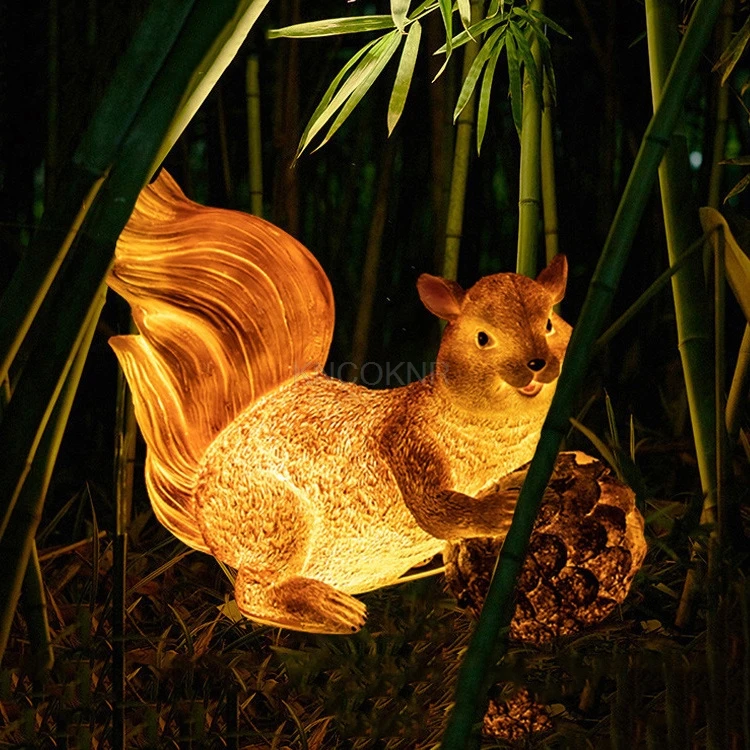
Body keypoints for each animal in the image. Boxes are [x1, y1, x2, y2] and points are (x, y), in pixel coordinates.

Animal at [107, 170, 571, 634]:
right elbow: (435, 509)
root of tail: (201, 490)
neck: (497, 428)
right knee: (251, 593)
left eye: (550, 323)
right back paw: (326, 609)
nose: (536, 365)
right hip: (275, 518)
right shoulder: (406, 441)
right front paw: (499, 509)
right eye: (482, 337)